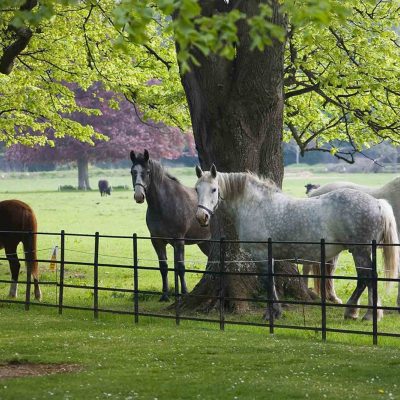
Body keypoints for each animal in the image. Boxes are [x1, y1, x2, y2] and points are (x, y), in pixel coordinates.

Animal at [130, 150, 212, 300]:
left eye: (147, 172)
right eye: (133, 171)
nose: (139, 196)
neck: (164, 204)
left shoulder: (179, 240)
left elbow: (180, 268)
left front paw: (183, 293)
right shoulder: (157, 241)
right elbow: (164, 267)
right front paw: (165, 295)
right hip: (205, 242)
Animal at [195, 166, 398, 322]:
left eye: (214, 189)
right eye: (196, 189)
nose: (201, 217)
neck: (256, 205)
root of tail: (378, 203)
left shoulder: (261, 253)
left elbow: (268, 282)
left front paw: (272, 314)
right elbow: (271, 281)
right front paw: (275, 312)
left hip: (360, 251)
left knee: (366, 278)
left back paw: (361, 314)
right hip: (363, 252)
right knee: (368, 279)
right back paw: (363, 313)